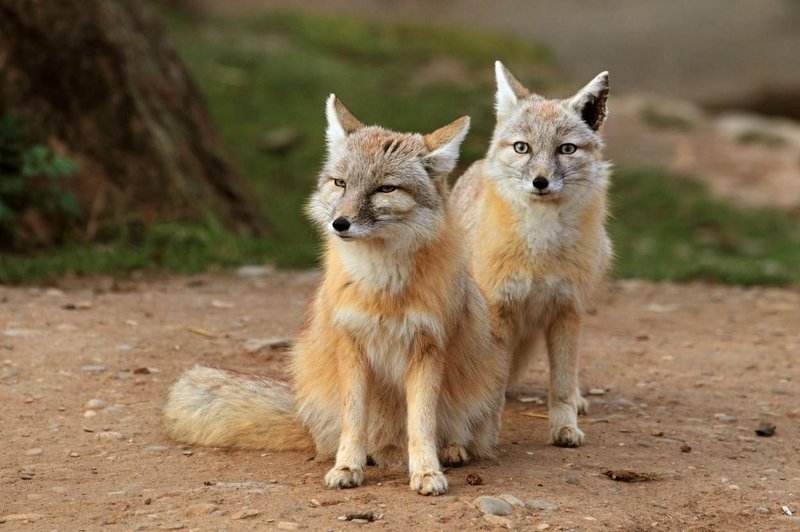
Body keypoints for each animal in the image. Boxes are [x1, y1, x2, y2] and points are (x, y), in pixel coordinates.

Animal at [161, 94, 506, 494]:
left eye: (385, 189)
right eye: (340, 183)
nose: (339, 223)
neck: (381, 286)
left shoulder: (427, 348)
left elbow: (422, 424)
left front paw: (426, 472)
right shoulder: (351, 344)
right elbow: (353, 420)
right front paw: (347, 467)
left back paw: (447, 451)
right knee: (362, 441)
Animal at [450, 61, 612, 448]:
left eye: (566, 149)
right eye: (522, 148)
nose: (540, 182)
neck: (540, 249)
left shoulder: (568, 309)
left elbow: (562, 385)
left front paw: (565, 427)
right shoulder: (500, 309)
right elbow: (493, 386)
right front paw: (487, 432)